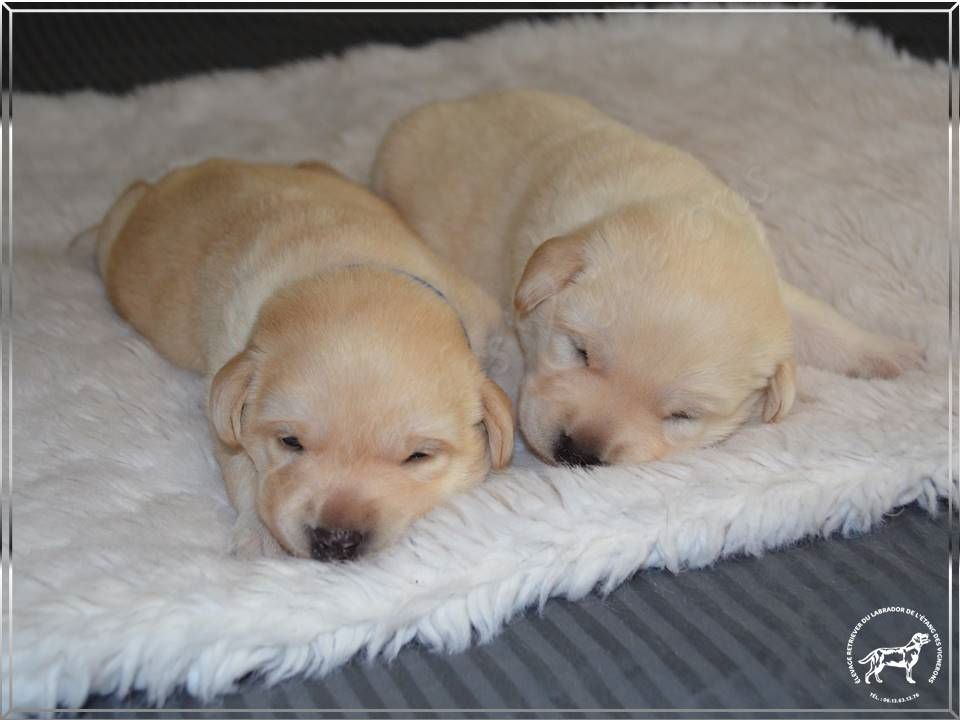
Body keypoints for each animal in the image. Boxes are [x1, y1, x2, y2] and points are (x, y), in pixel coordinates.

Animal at [97, 159, 512, 564]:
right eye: (290, 441)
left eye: (418, 456)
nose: (336, 540)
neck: (351, 265)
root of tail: (183, 174)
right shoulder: (225, 375)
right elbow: (239, 462)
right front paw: (257, 533)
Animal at [372, 88, 920, 466]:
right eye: (580, 352)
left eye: (681, 417)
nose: (578, 451)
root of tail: (436, 108)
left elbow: (818, 323)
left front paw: (890, 354)